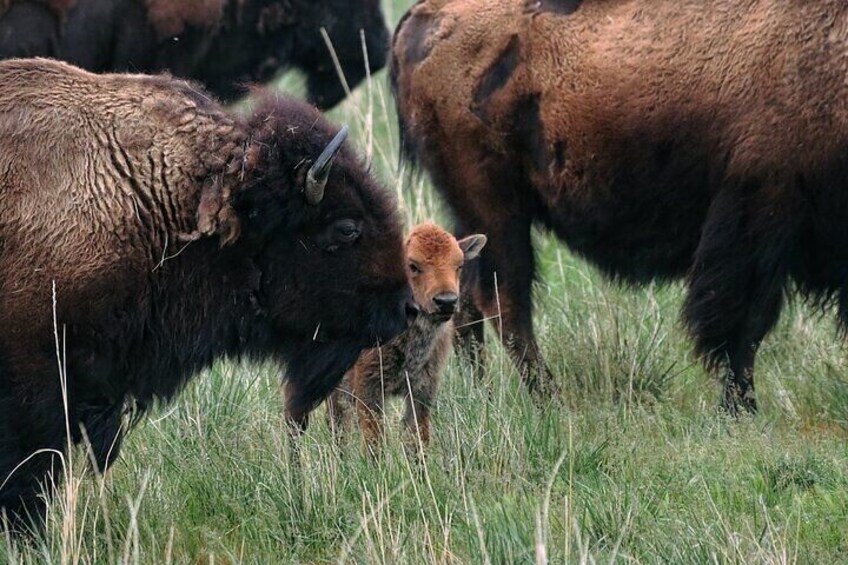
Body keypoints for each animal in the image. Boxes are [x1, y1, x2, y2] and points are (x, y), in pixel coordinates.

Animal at [391, 0, 848, 412]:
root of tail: (427, 15)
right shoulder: (757, 219)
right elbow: (743, 326)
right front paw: (742, 409)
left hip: (474, 216)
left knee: (467, 300)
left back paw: (485, 394)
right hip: (497, 208)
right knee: (504, 300)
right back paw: (551, 400)